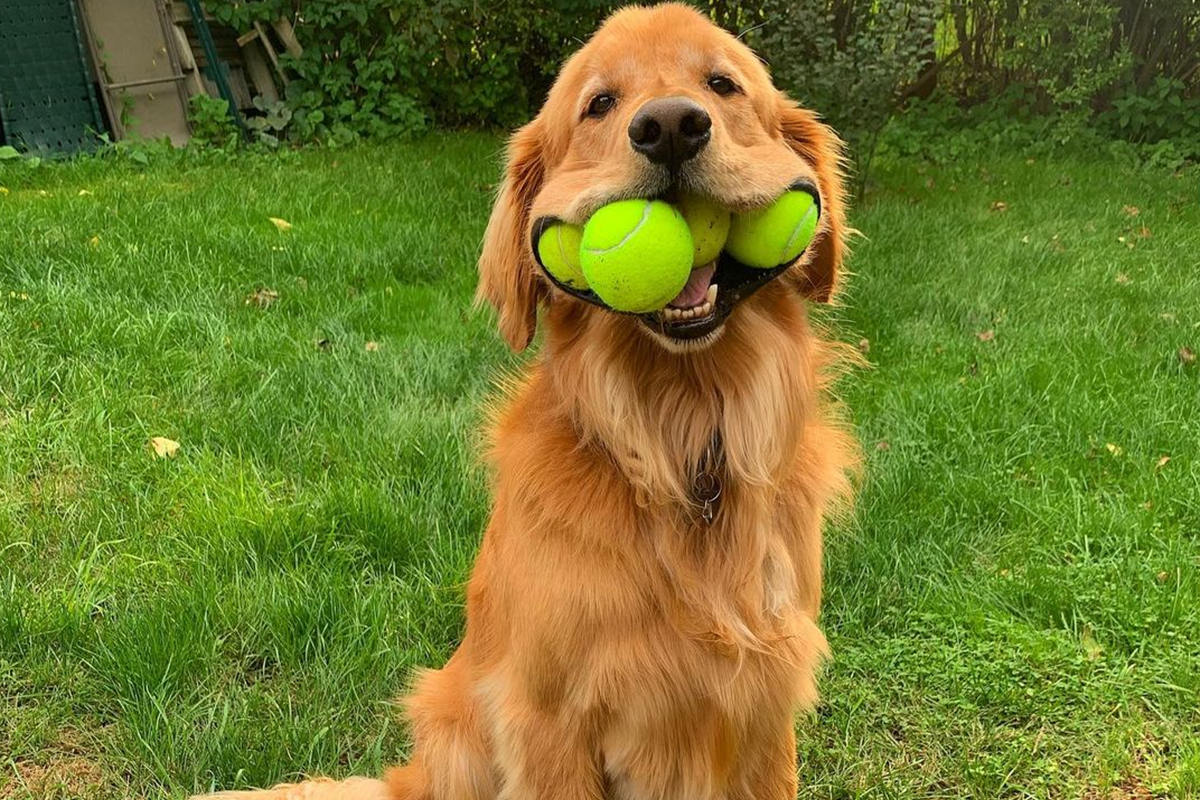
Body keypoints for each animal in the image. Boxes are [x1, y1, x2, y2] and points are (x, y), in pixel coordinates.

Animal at [196, 3, 854, 796]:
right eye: (599, 104)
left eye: (723, 85)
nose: (670, 126)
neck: (679, 441)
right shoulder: (546, 717)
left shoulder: (765, 705)